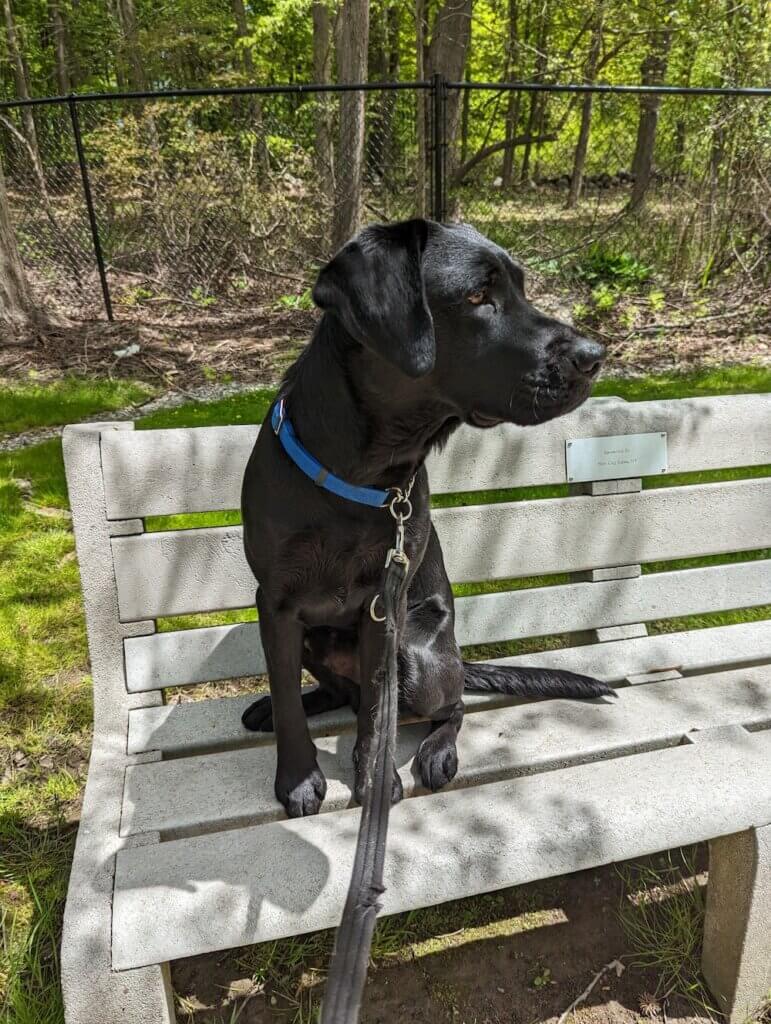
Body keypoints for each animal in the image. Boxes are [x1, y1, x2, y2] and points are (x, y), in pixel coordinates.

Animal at [240, 220, 614, 819]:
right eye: (478, 296)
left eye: (521, 289)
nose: (594, 355)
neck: (362, 475)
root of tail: (457, 657)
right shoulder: (275, 603)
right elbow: (289, 693)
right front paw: (297, 777)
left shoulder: (381, 611)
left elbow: (377, 715)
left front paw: (373, 780)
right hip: (316, 639)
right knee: (333, 692)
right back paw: (282, 706)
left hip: (419, 659)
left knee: (450, 704)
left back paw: (438, 750)